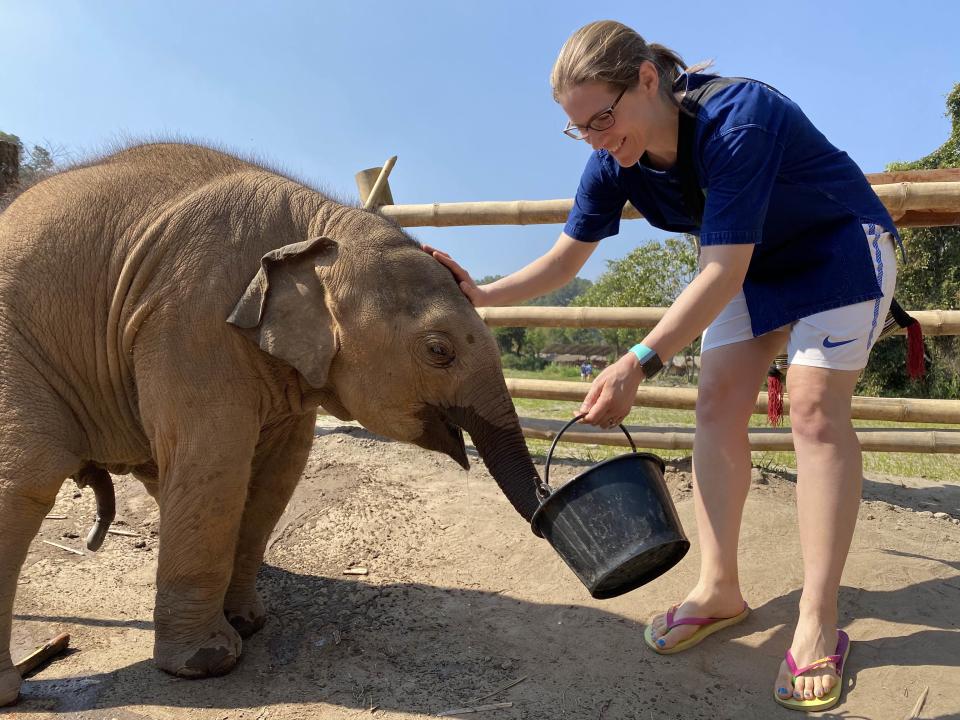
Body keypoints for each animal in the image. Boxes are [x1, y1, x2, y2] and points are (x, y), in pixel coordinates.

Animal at [0, 142, 540, 704]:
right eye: (439, 351)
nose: (548, 506)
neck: (320, 225)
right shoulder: (192, 319)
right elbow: (215, 459)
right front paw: (208, 662)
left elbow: (275, 474)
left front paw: (248, 622)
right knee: (30, 474)